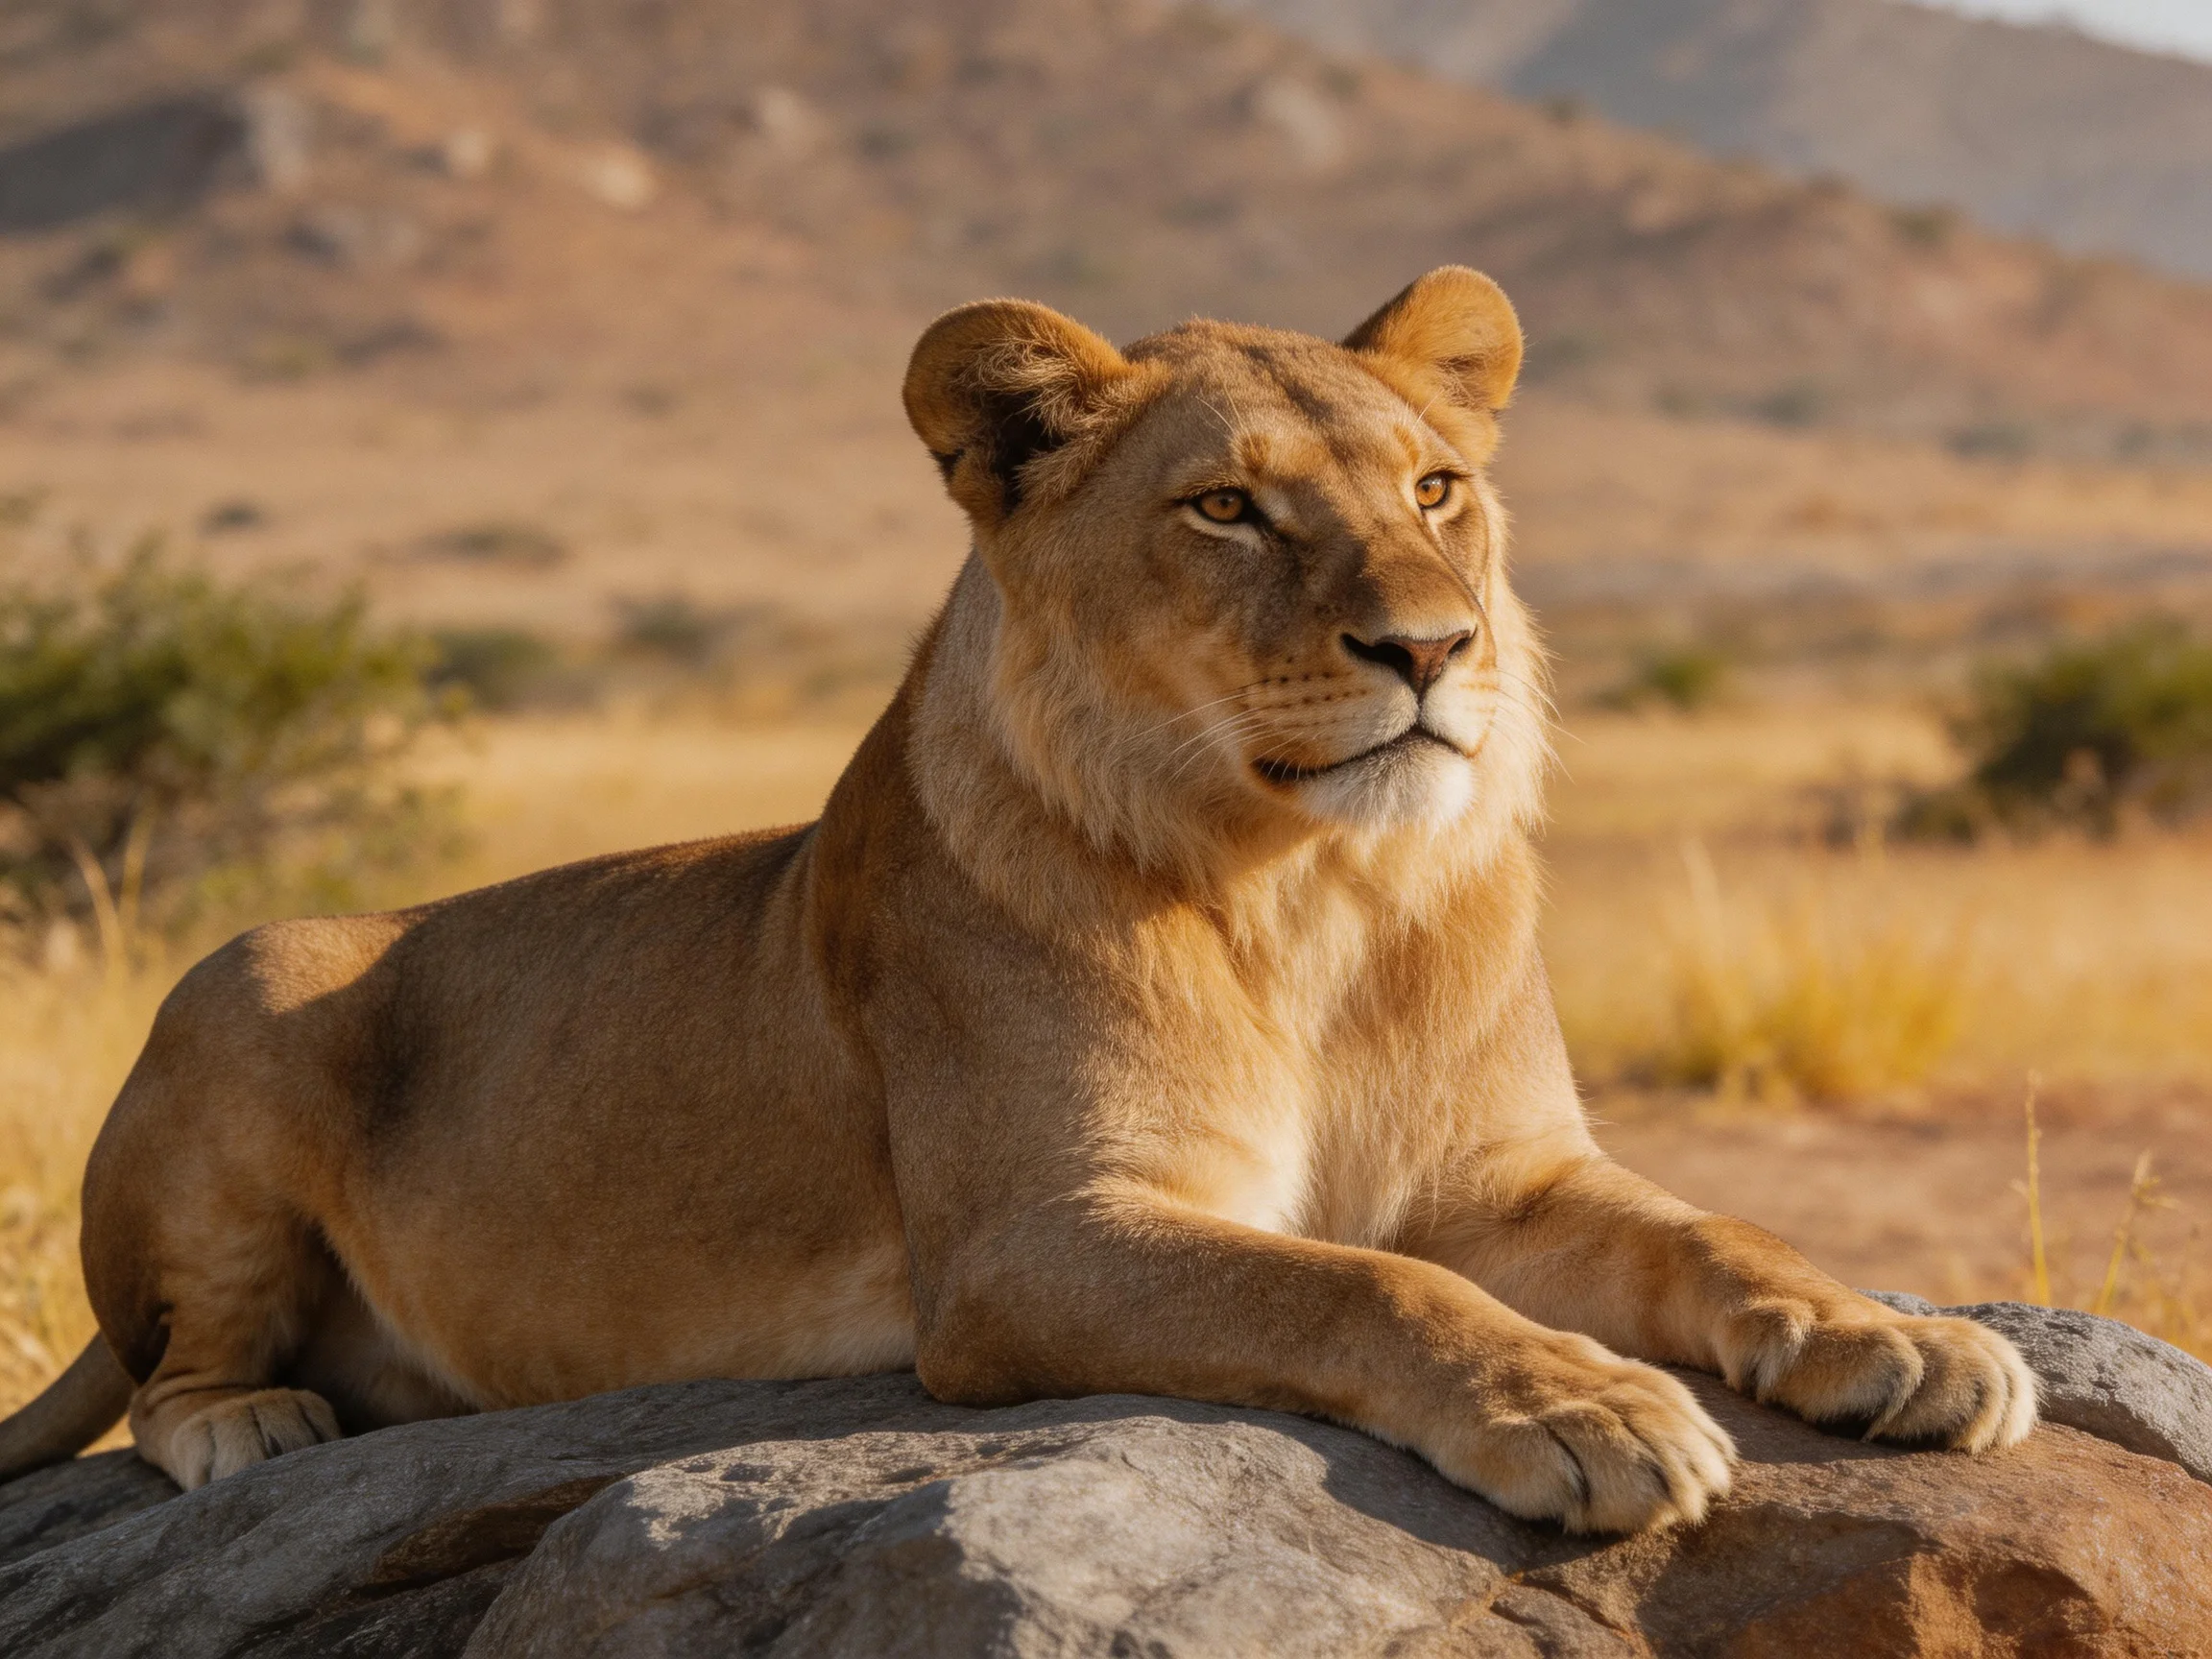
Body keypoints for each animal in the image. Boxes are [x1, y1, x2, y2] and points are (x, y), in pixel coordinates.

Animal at [0, 268, 2034, 1533]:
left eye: (1436, 488)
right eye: (1226, 508)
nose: (1429, 648)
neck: (1313, 893)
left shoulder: (1504, 1171)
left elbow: (1711, 1230)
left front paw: (1905, 1338)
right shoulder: (1026, 1244)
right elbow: (1360, 1286)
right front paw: (1583, 1410)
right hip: (243, 976)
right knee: (171, 1377)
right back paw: (261, 1420)